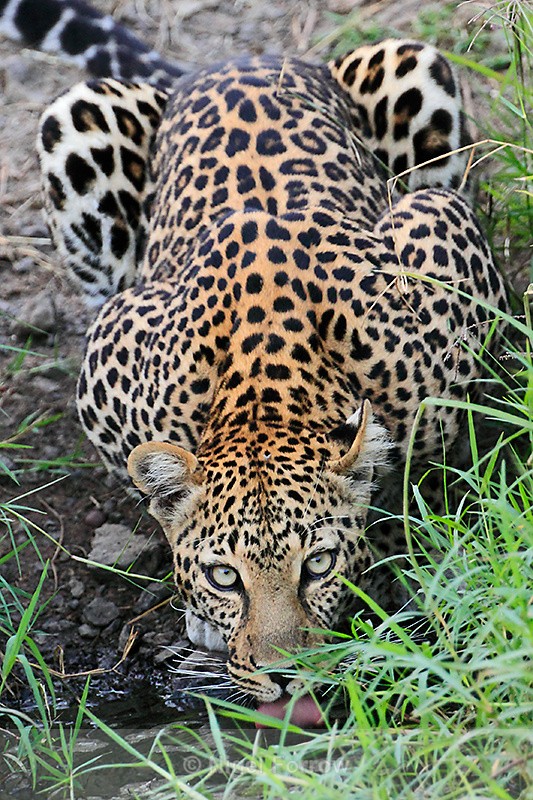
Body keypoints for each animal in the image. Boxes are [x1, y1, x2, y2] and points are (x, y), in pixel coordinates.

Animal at [1, 0, 508, 706]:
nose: (287, 676)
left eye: (318, 564)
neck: (267, 383)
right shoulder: (111, 344)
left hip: (413, 67)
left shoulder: (443, 238)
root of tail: (229, 60)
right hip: (76, 123)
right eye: (223, 576)